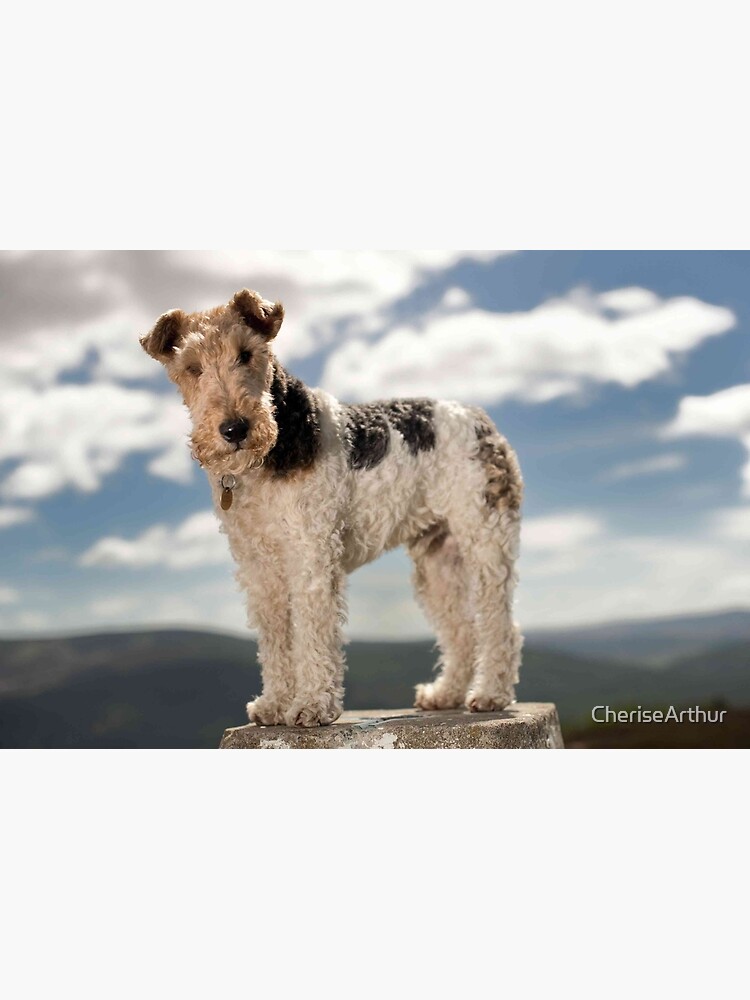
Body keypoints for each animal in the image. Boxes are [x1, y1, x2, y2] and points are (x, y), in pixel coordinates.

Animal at [140, 290, 524, 728]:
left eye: (246, 353)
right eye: (192, 367)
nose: (235, 429)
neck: (271, 454)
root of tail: (481, 419)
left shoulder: (311, 551)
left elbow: (312, 631)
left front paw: (311, 706)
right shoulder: (259, 565)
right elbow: (275, 637)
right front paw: (274, 704)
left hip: (485, 538)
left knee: (500, 623)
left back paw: (490, 695)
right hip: (437, 559)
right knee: (461, 630)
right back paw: (445, 694)